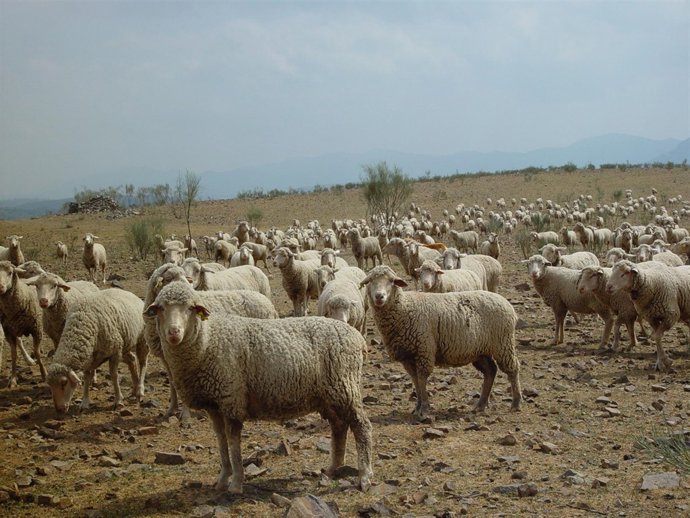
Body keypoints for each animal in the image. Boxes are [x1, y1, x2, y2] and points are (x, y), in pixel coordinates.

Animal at [144, 263, 278, 418]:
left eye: (186, 277)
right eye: (168, 278)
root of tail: (268, 303)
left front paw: (185, 414)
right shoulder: (167, 358)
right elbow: (172, 384)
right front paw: (171, 409)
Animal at [146, 281, 374, 494]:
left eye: (190, 308)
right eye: (161, 308)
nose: (173, 332)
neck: (208, 340)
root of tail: (357, 338)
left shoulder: (231, 398)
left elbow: (234, 444)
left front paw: (236, 482)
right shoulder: (215, 405)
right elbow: (221, 441)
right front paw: (223, 478)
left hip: (345, 386)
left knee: (361, 426)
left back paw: (364, 475)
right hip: (330, 395)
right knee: (339, 426)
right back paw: (332, 469)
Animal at [360, 265, 521, 417]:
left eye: (391, 281)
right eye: (370, 281)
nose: (379, 296)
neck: (404, 307)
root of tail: (507, 304)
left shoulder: (424, 349)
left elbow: (422, 378)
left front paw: (424, 408)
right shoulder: (408, 356)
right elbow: (415, 380)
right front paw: (417, 406)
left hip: (503, 343)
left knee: (512, 369)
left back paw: (516, 403)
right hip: (480, 351)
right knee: (490, 371)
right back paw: (480, 405)